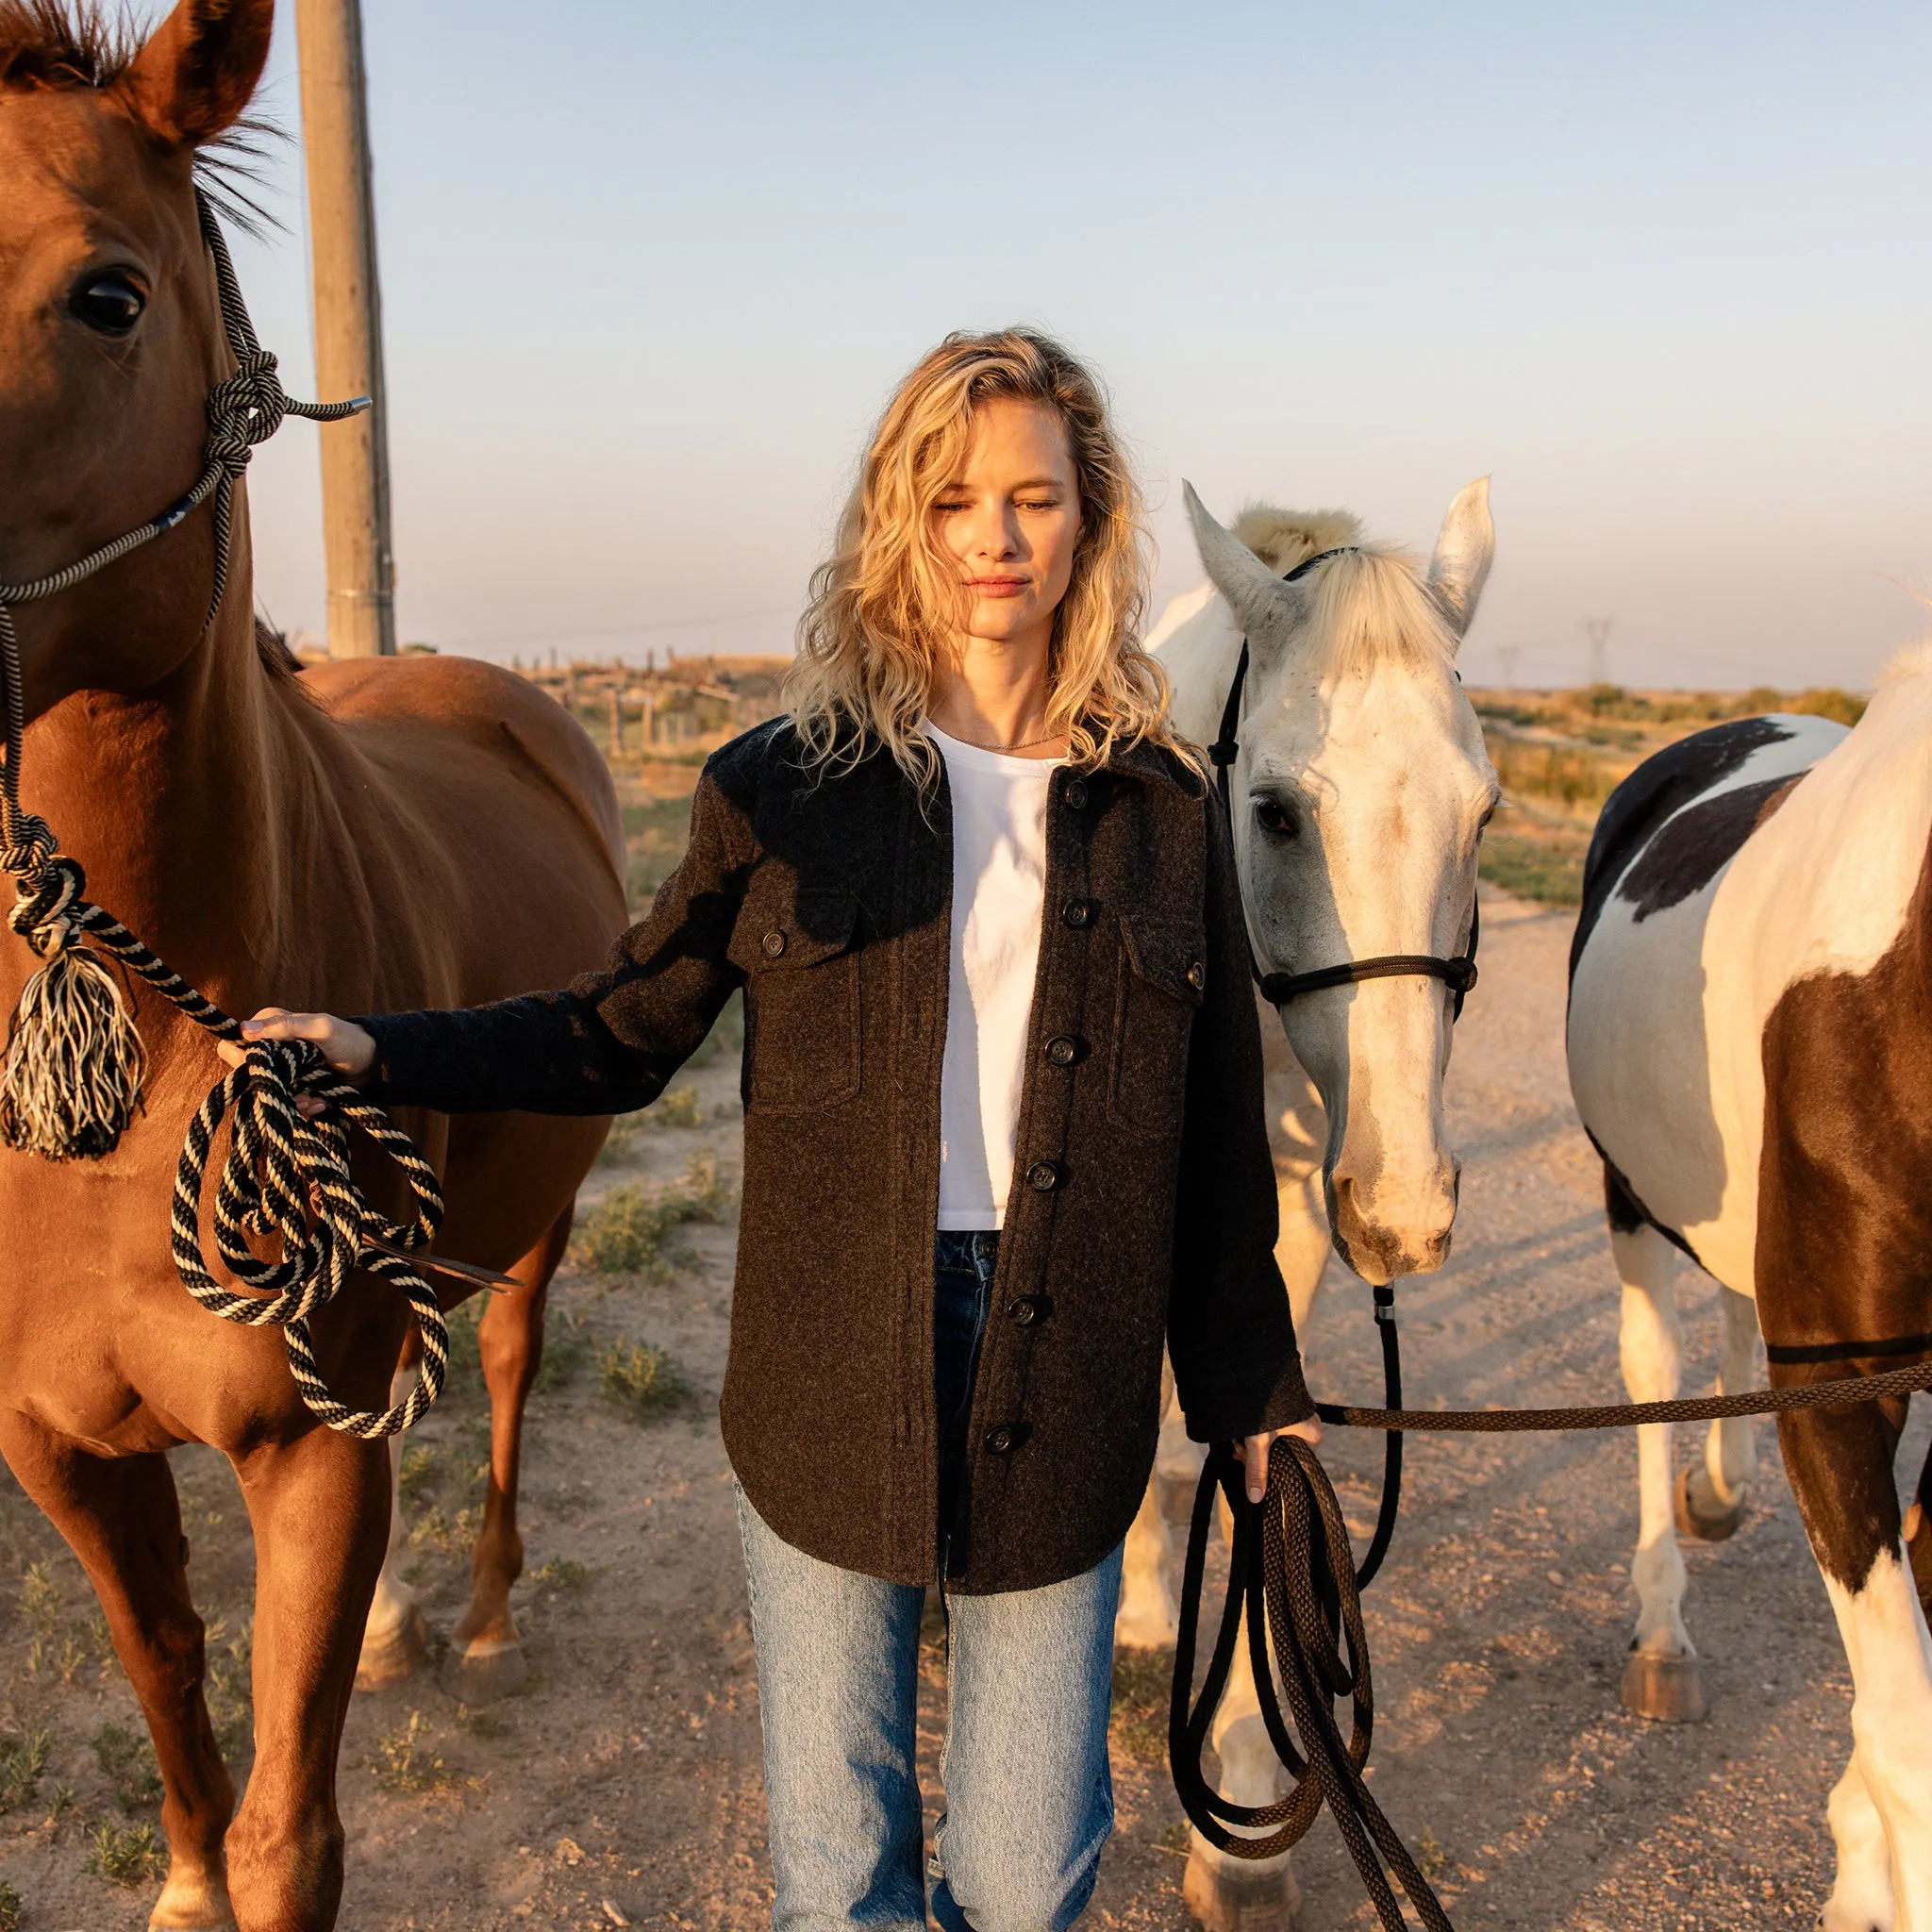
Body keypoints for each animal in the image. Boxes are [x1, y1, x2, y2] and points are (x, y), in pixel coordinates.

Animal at [0, 8, 618, 1924]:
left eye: (108, 295)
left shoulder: (312, 1459)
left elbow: (298, 1834)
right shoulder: (55, 1440)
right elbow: (162, 1665)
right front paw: (183, 1871)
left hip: (538, 1213)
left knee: (507, 1370)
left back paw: (478, 1616)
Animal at [1120, 483, 1507, 1932]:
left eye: (1484, 818)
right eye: (1278, 813)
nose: (1403, 1211)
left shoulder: (1281, 1220)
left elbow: (1258, 1450)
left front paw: (1237, 1821)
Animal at [1568, 668, 1932, 1932]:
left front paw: (1854, 1851)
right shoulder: (1841, 1384)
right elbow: (1907, 1732)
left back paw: (1719, 1493)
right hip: (1629, 1191)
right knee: (1652, 1368)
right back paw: (1662, 1633)